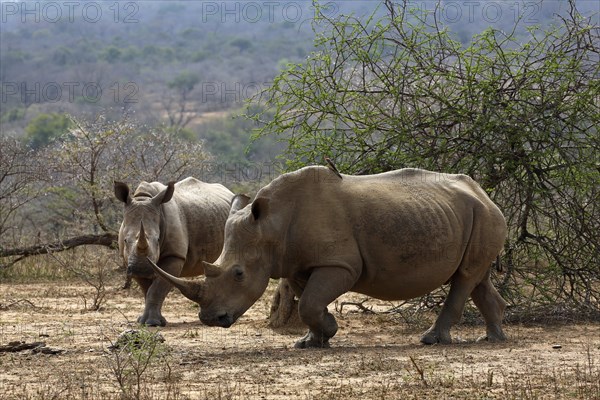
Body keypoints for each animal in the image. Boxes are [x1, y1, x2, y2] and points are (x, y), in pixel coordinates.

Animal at [114, 177, 232, 324]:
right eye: (125, 240)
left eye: (158, 240)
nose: (141, 268)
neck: (144, 198)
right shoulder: (128, 260)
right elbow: (147, 289)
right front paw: (144, 321)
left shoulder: (174, 255)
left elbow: (157, 288)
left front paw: (153, 323)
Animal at [152, 166, 508, 346]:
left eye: (238, 274)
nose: (210, 319)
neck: (272, 223)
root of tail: (485, 195)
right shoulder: (297, 264)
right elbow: (307, 300)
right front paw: (312, 340)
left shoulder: (340, 264)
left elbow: (310, 302)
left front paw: (330, 330)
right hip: (472, 216)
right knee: (475, 276)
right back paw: (494, 338)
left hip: (485, 215)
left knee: (465, 279)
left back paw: (432, 340)